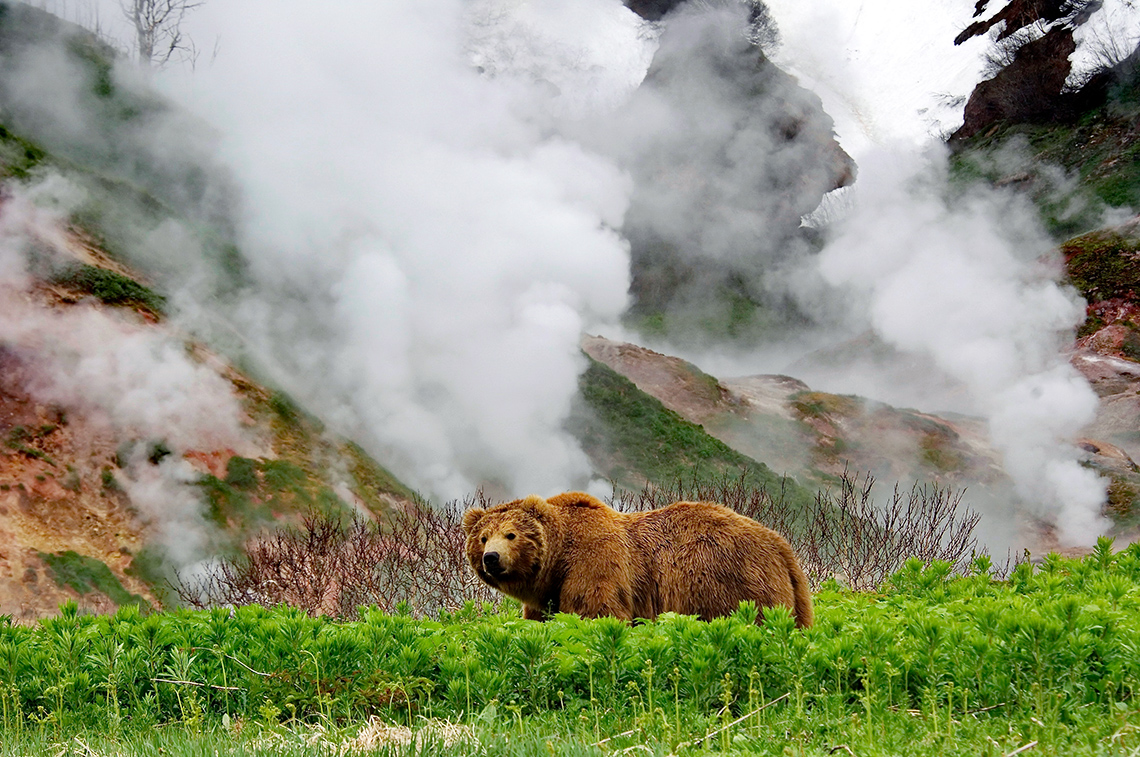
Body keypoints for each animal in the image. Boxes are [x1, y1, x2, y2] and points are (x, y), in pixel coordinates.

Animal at [460, 490, 811, 624]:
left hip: (732, 583)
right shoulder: (548, 595)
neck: (557, 561)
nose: (492, 558)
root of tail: (781, 545)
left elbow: (598, 613)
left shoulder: (594, 564)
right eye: (482, 537)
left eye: (511, 534)